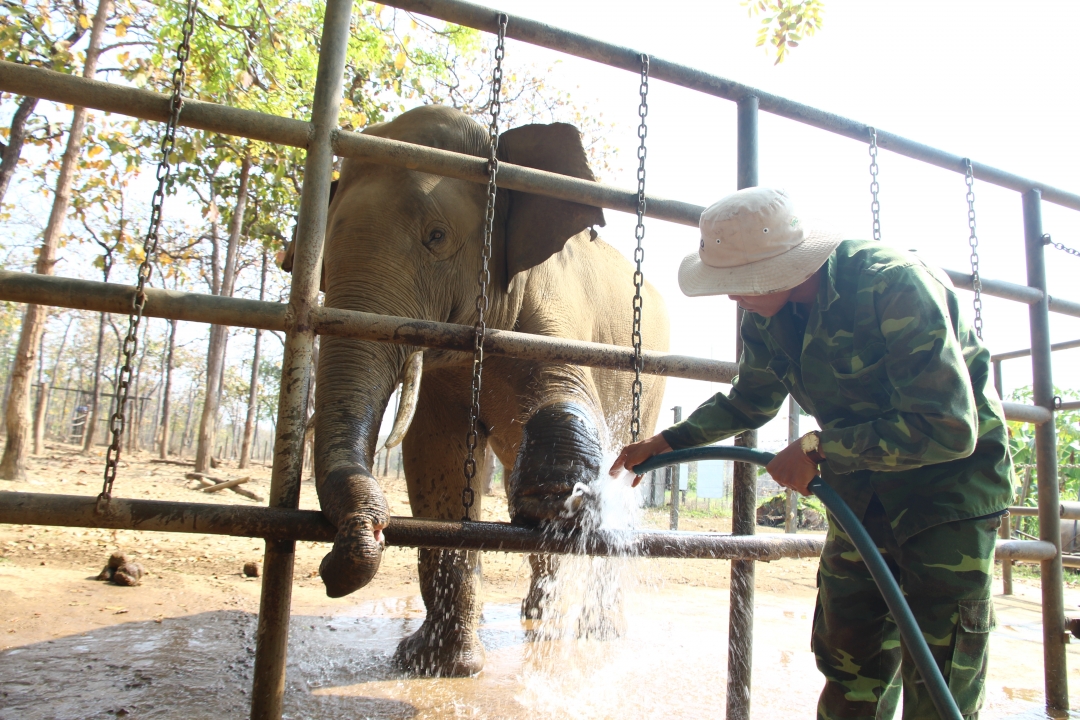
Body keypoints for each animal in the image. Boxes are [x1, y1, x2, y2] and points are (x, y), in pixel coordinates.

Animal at [295, 104, 665, 677]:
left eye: (437, 236)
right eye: (323, 265)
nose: (331, 568)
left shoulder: (554, 306)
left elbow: (566, 396)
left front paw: (556, 492)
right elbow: (435, 459)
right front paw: (439, 666)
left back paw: (596, 631)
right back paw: (536, 614)